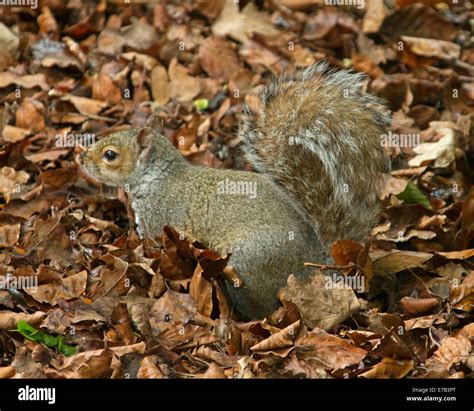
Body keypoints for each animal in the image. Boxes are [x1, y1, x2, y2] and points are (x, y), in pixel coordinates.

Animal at [79, 63, 388, 322]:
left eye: (110, 154)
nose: (81, 159)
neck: (158, 177)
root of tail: (314, 263)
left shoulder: (159, 222)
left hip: (249, 261)